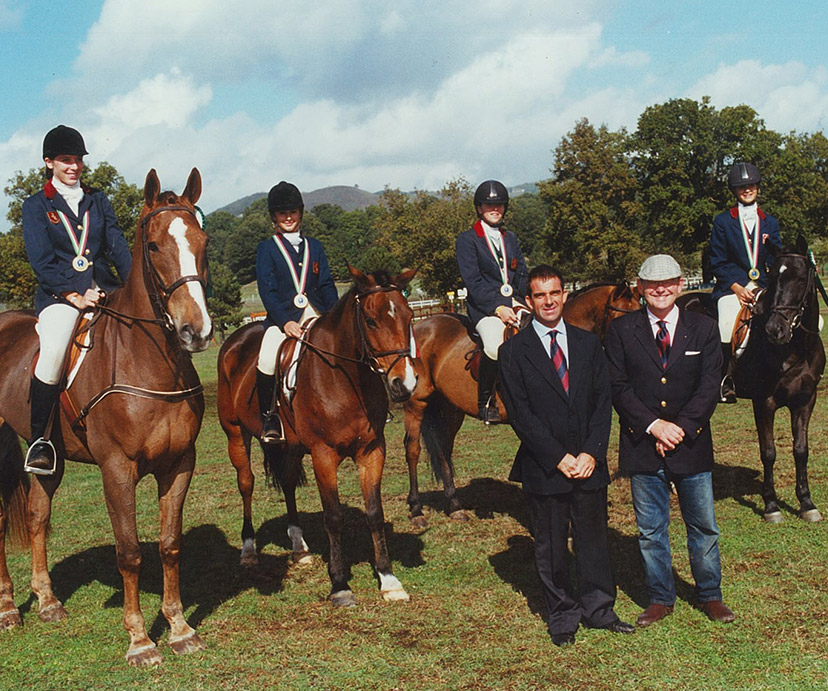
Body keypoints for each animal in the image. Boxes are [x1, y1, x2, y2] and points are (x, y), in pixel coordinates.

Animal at [0, 166, 210, 664]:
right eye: (153, 246)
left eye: (203, 240)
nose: (196, 332)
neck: (149, 361)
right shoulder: (117, 469)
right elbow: (129, 551)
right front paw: (140, 640)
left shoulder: (180, 463)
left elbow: (170, 546)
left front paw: (179, 629)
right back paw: (8, 609)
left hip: (49, 455)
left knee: (36, 515)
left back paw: (48, 602)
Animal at [217, 268, 418, 604]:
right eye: (371, 320)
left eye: (409, 315)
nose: (404, 384)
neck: (346, 379)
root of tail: (235, 340)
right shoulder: (324, 455)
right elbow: (333, 516)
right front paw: (340, 585)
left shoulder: (372, 451)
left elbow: (374, 513)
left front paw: (389, 579)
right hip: (235, 433)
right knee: (246, 484)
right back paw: (248, 551)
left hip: (291, 446)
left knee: (287, 483)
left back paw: (299, 548)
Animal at [404, 280, 636, 524]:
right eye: (621, 318)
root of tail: (422, 326)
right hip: (415, 404)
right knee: (413, 449)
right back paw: (416, 508)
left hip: (450, 409)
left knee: (443, 449)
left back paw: (455, 505)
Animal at [732, 241, 820, 520]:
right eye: (773, 279)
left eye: (801, 278)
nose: (775, 330)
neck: (795, 349)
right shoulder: (763, 402)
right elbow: (768, 452)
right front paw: (771, 505)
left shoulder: (805, 400)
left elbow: (801, 450)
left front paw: (807, 503)